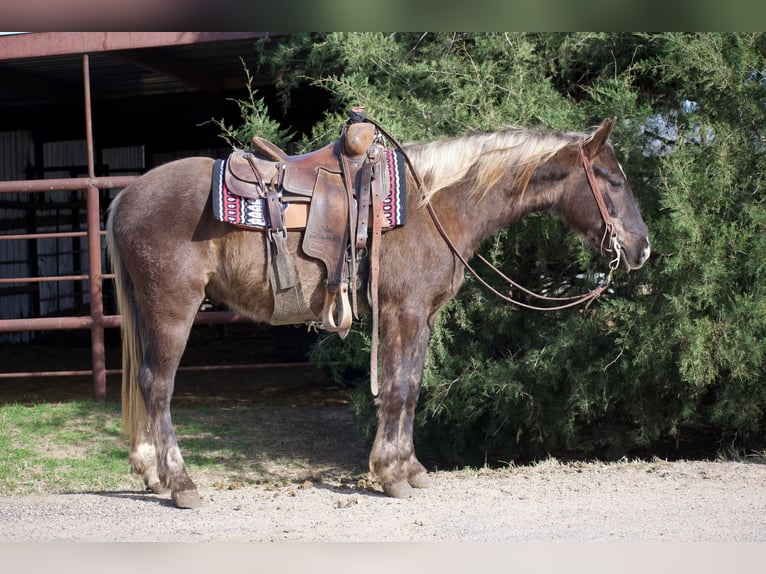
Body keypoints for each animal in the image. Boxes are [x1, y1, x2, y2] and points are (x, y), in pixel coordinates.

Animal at [106, 117, 650, 508]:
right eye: (612, 181)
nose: (642, 248)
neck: (433, 204)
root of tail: (126, 196)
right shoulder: (403, 311)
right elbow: (396, 389)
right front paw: (390, 475)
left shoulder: (421, 317)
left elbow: (410, 387)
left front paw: (411, 469)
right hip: (172, 310)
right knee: (158, 386)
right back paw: (181, 484)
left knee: (144, 383)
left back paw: (153, 474)